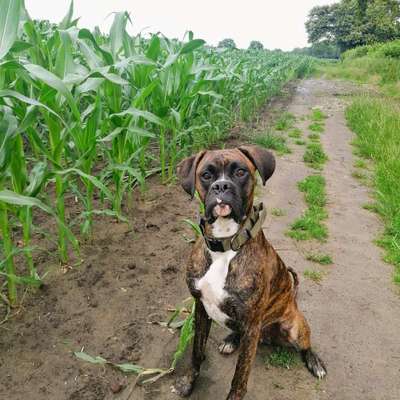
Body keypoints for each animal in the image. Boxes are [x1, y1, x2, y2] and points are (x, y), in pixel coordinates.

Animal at [174, 145, 324, 398]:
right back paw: (231, 340)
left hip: (293, 328)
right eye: (206, 175)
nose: (222, 186)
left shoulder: (252, 324)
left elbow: (240, 377)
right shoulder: (201, 308)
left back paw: (315, 362)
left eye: (240, 172)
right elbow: (196, 351)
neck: (225, 244)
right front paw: (188, 381)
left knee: (306, 344)